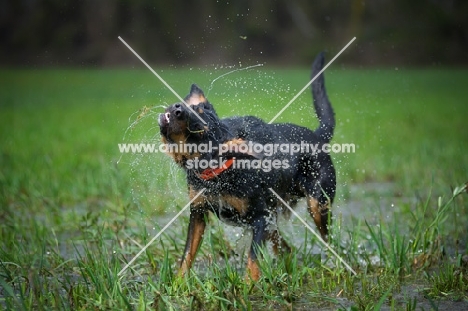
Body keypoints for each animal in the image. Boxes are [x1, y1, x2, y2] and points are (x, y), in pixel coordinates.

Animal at [159, 53, 334, 280]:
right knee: (286, 249)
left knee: (328, 240)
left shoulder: (260, 218)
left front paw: (249, 284)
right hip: (275, 216)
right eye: (192, 109)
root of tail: (317, 136)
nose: (178, 109)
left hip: (317, 203)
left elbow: (253, 258)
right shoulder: (198, 213)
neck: (220, 173)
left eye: (199, 129)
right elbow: (187, 254)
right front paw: (178, 283)